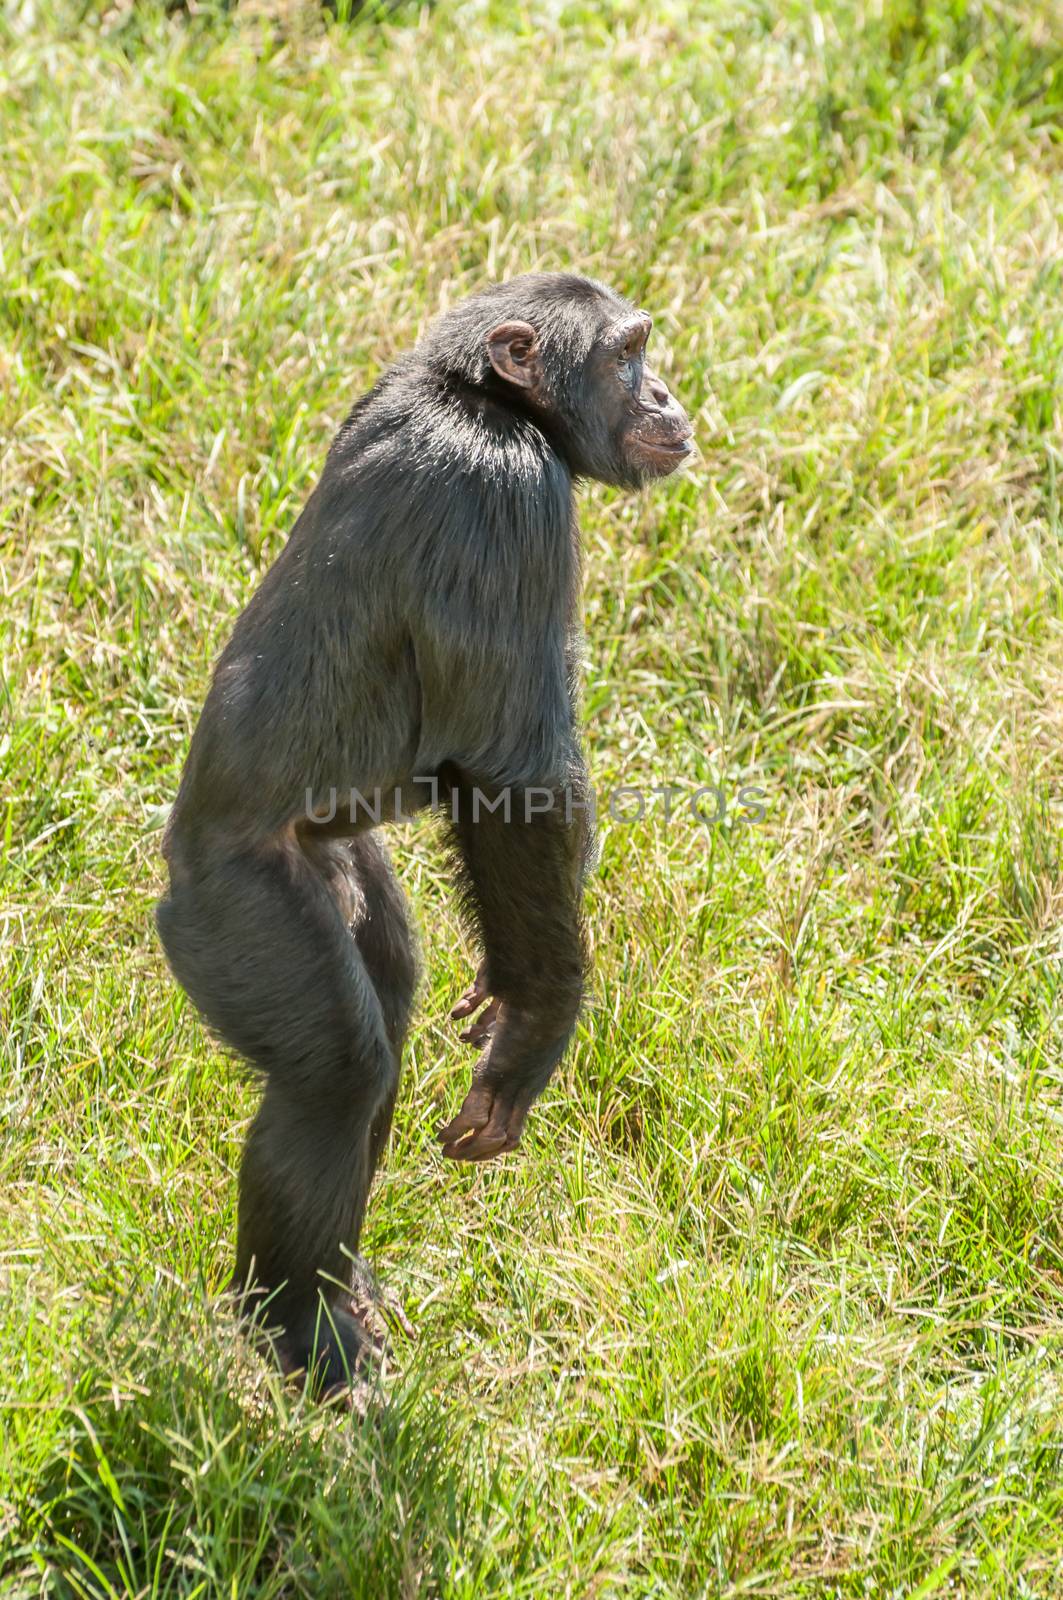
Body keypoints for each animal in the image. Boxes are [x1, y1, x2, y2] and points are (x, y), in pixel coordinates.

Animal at [156, 272, 688, 1388]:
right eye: (625, 355)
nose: (663, 391)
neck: (483, 398)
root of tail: (175, 868)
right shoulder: (503, 497)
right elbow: (511, 776)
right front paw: (534, 1020)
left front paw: (501, 990)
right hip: (238, 916)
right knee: (336, 1071)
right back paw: (301, 1334)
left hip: (338, 869)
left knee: (385, 997)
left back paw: (339, 1289)